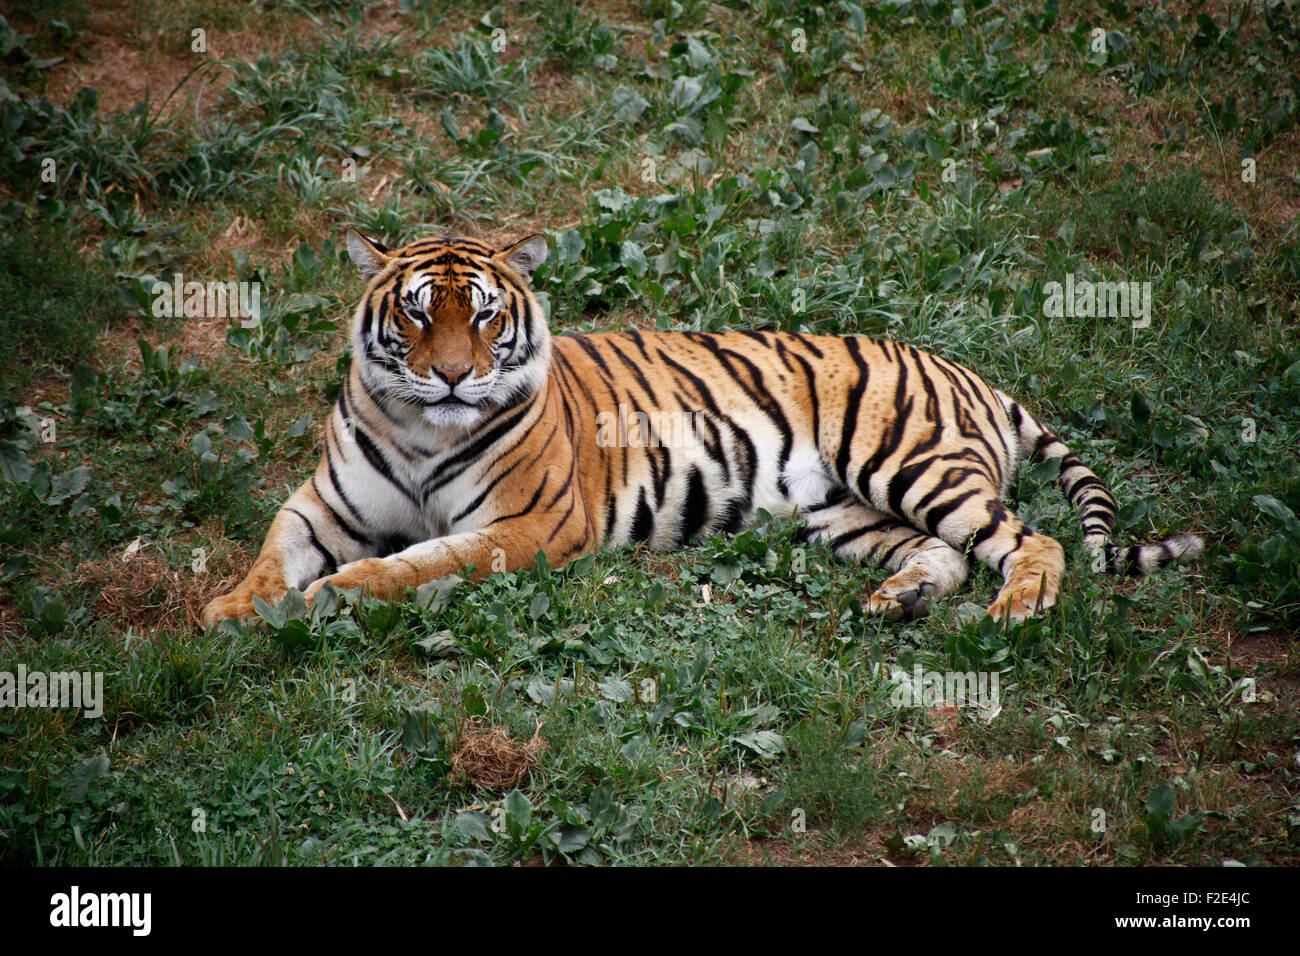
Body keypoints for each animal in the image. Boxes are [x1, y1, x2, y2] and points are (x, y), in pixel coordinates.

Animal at [197, 231, 1201, 632]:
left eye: (482, 316)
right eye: (414, 314)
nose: (450, 374)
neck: (421, 429)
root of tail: (974, 374)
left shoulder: (528, 525)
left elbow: (417, 562)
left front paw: (342, 592)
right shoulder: (325, 505)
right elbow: (271, 551)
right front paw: (233, 610)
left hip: (909, 463)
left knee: (1031, 543)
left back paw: (1017, 609)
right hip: (841, 512)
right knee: (946, 554)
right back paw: (897, 601)